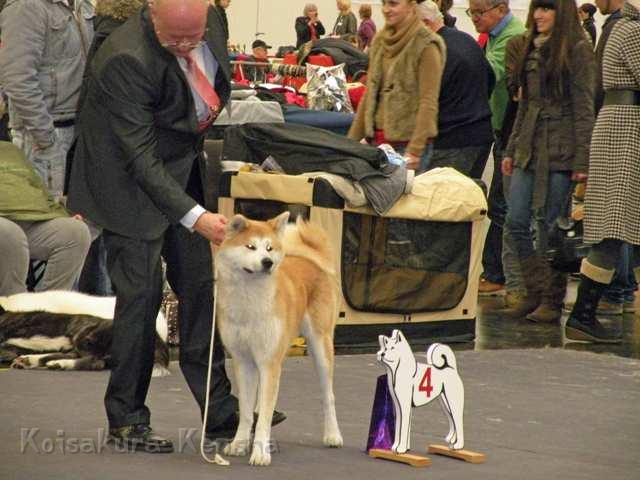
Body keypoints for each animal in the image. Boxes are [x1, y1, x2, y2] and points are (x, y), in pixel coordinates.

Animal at [215, 213, 342, 464]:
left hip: (320, 347)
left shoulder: (269, 363)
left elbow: (263, 416)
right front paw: (239, 444)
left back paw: (333, 435)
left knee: (329, 396)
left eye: (269, 248)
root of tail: (311, 261)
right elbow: (246, 412)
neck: (249, 298)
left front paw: (260, 453)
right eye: (250, 246)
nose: (267, 262)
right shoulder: (243, 361)